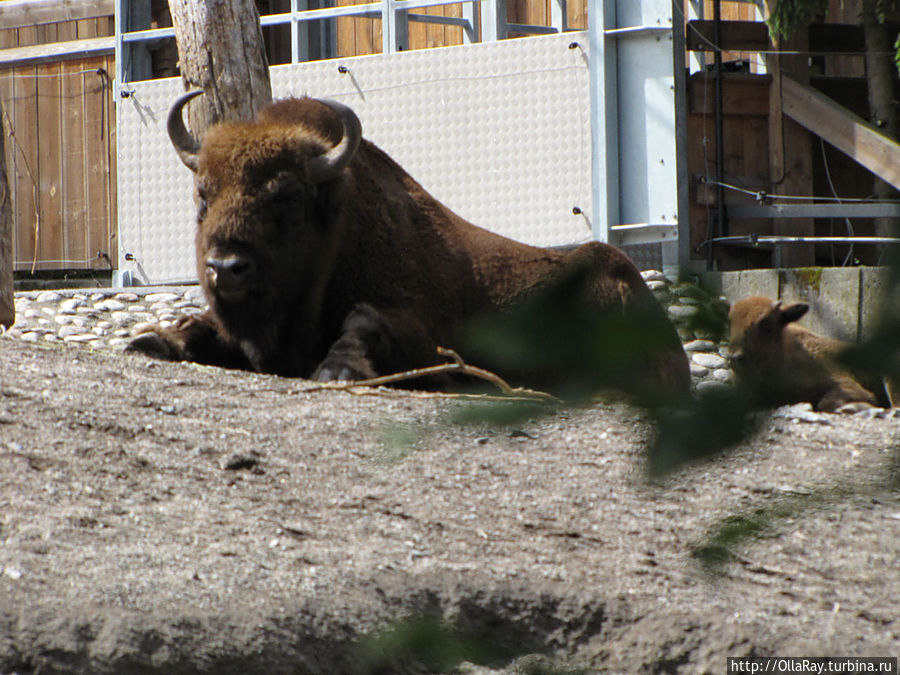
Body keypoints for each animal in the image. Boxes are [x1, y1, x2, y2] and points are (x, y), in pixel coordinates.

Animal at [128, 92, 688, 404]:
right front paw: (149, 341)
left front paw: (337, 370)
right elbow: (195, 325)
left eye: (287, 194)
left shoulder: (420, 326)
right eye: (203, 194)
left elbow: (364, 320)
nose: (226, 266)